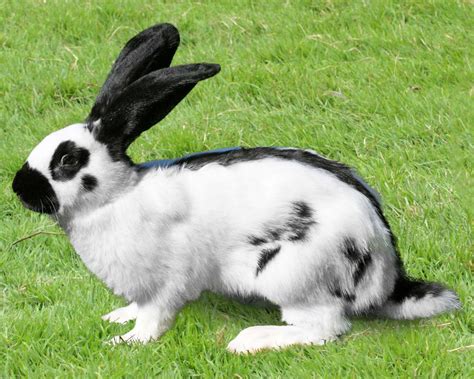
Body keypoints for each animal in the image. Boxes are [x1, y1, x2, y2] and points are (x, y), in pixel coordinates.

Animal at [12, 23, 462, 354]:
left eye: (68, 161)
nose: (19, 188)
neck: (118, 196)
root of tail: (388, 275)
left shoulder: (167, 281)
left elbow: (155, 317)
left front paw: (126, 340)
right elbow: (137, 307)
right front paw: (117, 318)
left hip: (293, 274)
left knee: (325, 329)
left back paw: (250, 340)